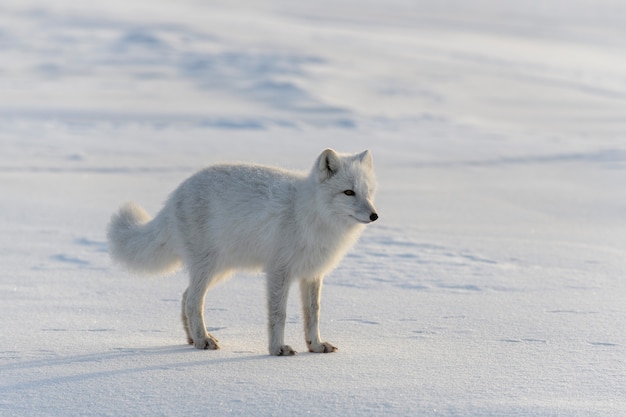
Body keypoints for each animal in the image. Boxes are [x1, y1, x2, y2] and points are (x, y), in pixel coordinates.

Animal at [106, 148, 376, 356]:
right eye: (348, 192)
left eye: (368, 193)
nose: (375, 216)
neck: (311, 215)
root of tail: (175, 195)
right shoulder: (278, 271)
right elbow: (279, 314)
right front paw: (277, 349)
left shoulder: (312, 274)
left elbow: (313, 314)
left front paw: (316, 346)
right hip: (209, 267)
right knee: (193, 301)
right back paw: (203, 340)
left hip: (221, 269)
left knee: (185, 297)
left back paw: (194, 339)